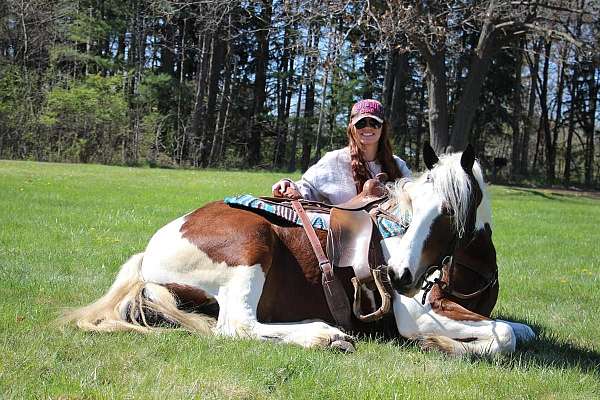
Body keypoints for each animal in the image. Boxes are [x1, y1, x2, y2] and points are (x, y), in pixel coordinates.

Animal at [63, 145, 536, 356]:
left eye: (448, 213)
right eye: (410, 205)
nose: (399, 275)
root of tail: (149, 254)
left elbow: (516, 329)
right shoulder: (414, 314)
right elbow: (503, 335)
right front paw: (445, 344)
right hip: (250, 247)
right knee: (237, 326)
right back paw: (323, 334)